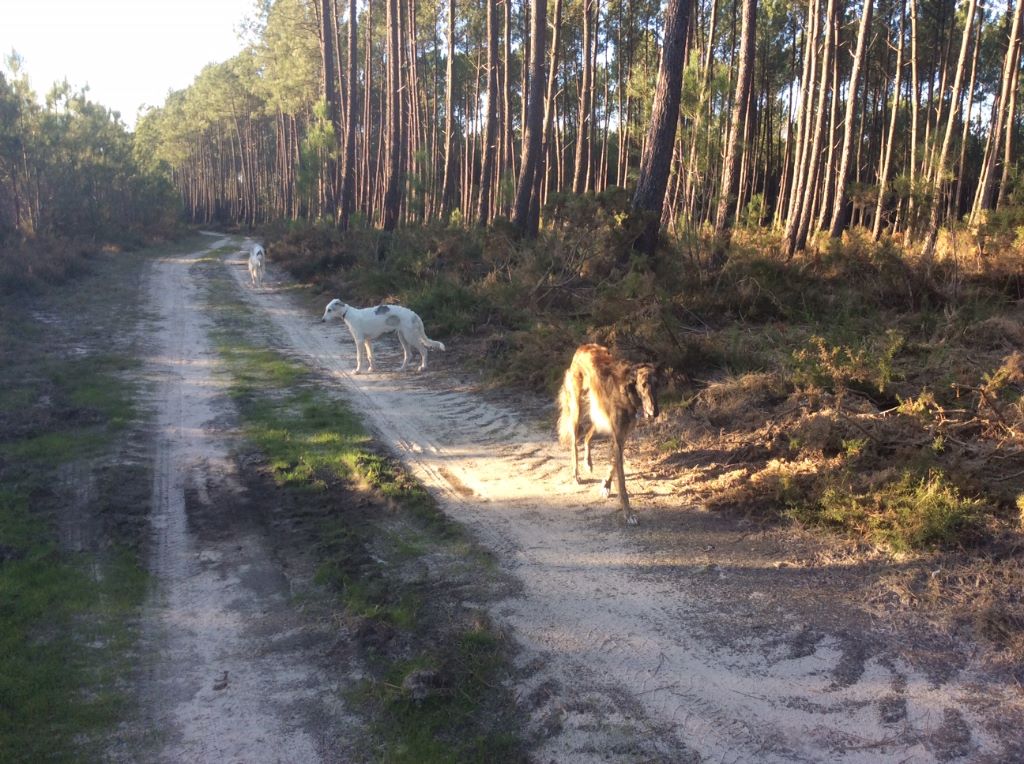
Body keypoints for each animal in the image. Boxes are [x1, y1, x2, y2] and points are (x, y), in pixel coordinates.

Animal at [557, 342, 659, 520]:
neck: (627, 390)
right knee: (575, 443)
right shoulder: (618, 436)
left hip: (598, 414)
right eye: (643, 385)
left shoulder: (621, 436)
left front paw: (606, 485)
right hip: (577, 410)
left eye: (658, 384)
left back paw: (588, 462)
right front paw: (628, 513)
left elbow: (612, 464)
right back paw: (576, 475)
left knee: (587, 436)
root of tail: (583, 347)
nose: (654, 412)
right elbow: (622, 481)